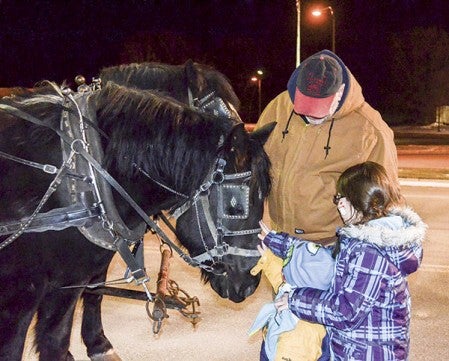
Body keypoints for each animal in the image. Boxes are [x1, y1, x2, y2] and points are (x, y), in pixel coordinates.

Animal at [0, 76, 272, 360]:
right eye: (235, 204)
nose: (250, 282)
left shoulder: (68, 283)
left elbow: (63, 331)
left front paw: (97, 344)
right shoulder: (20, 295)